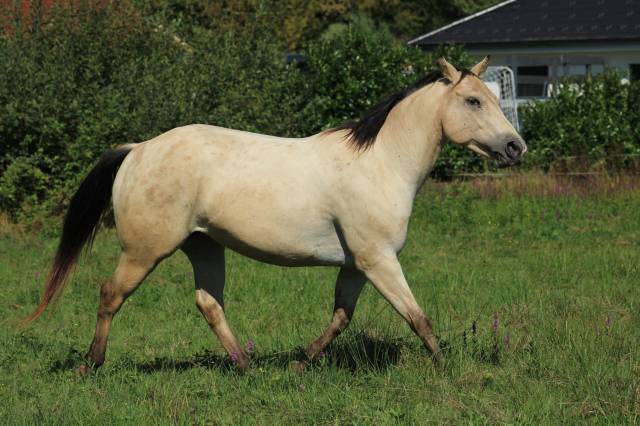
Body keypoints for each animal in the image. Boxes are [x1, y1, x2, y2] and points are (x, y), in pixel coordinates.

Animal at [23, 56, 526, 374]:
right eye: (473, 101)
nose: (515, 147)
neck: (382, 162)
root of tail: (137, 150)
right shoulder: (379, 260)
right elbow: (417, 316)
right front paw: (444, 368)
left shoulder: (357, 265)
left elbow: (342, 316)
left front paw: (302, 363)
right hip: (145, 250)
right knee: (111, 295)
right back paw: (91, 364)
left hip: (204, 246)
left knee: (209, 303)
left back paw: (246, 366)